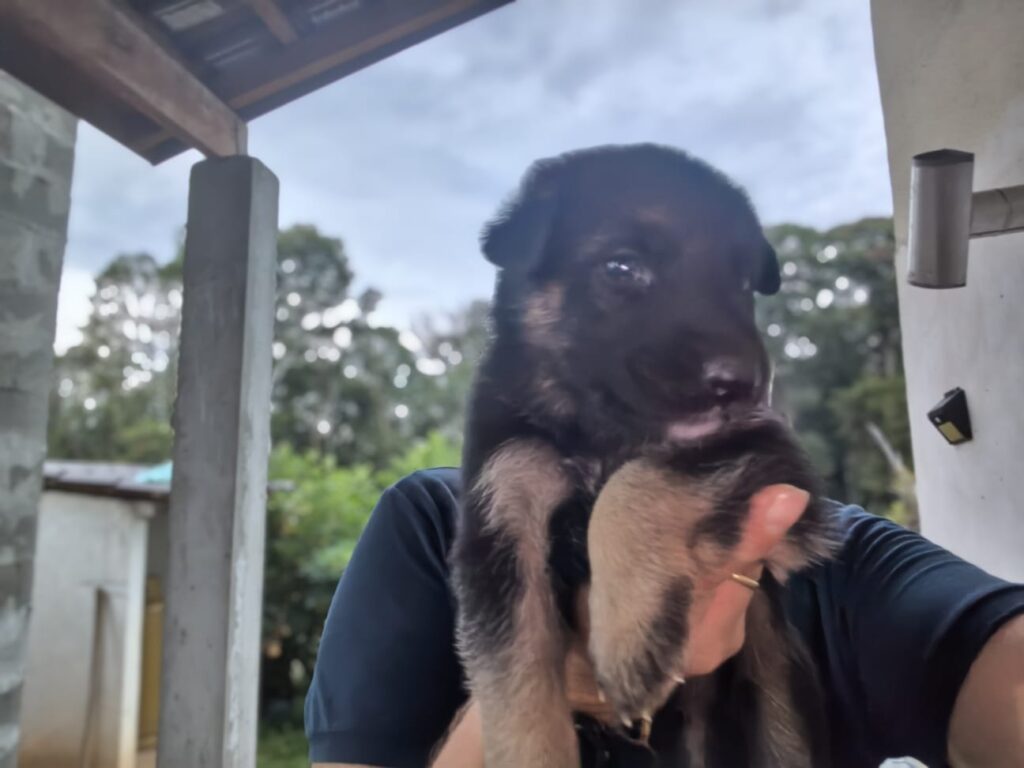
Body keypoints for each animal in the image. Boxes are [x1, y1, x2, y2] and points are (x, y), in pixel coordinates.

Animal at [451, 144, 836, 767]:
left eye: (743, 282)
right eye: (622, 269)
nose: (744, 385)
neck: (596, 433)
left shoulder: (778, 470)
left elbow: (637, 481)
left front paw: (629, 635)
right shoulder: (501, 526)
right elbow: (516, 696)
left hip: (781, 698)